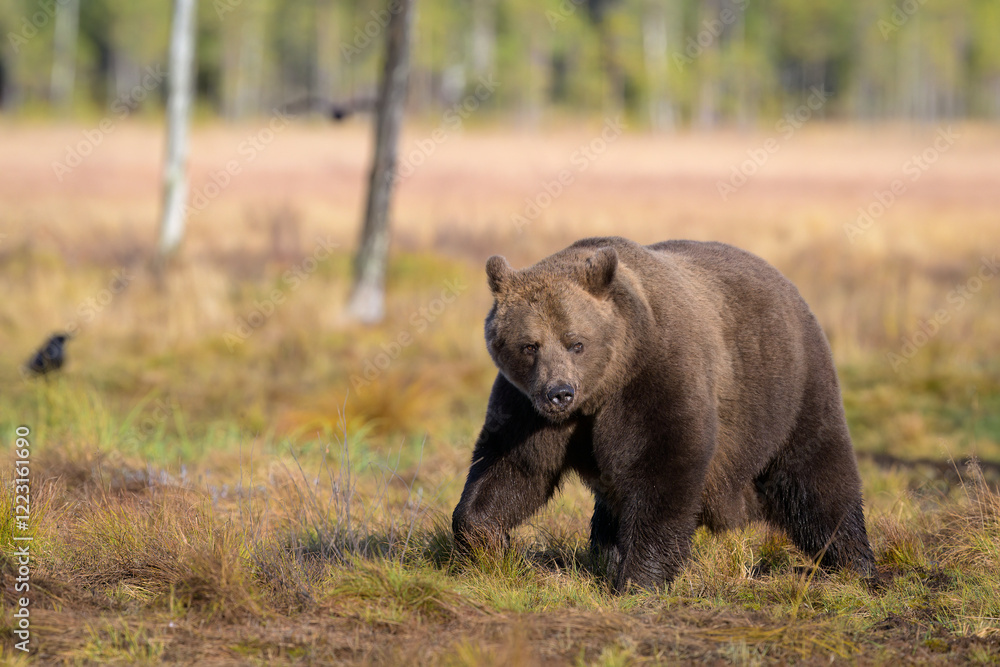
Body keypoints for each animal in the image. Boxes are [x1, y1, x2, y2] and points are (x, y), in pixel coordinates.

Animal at [452, 236, 875, 592]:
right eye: (529, 346)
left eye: (576, 343)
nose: (559, 393)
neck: (601, 390)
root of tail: (787, 284)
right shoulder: (527, 407)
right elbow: (512, 467)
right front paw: (489, 544)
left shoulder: (655, 378)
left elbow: (661, 468)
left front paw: (639, 578)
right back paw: (605, 551)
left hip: (787, 392)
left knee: (817, 476)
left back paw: (854, 564)